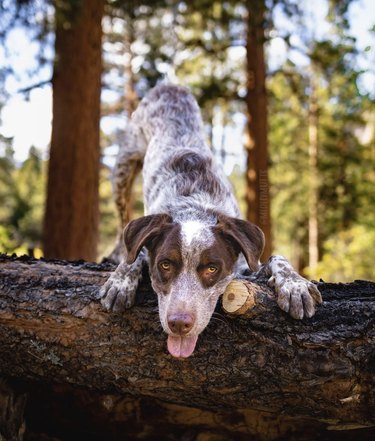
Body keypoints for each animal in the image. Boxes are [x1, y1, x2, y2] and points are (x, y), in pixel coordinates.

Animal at [100, 85, 324, 358]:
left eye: (212, 269)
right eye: (165, 265)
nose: (179, 323)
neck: (194, 207)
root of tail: (170, 86)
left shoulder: (247, 264)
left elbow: (276, 258)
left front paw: (295, 285)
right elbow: (135, 255)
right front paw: (120, 280)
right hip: (123, 168)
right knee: (121, 218)